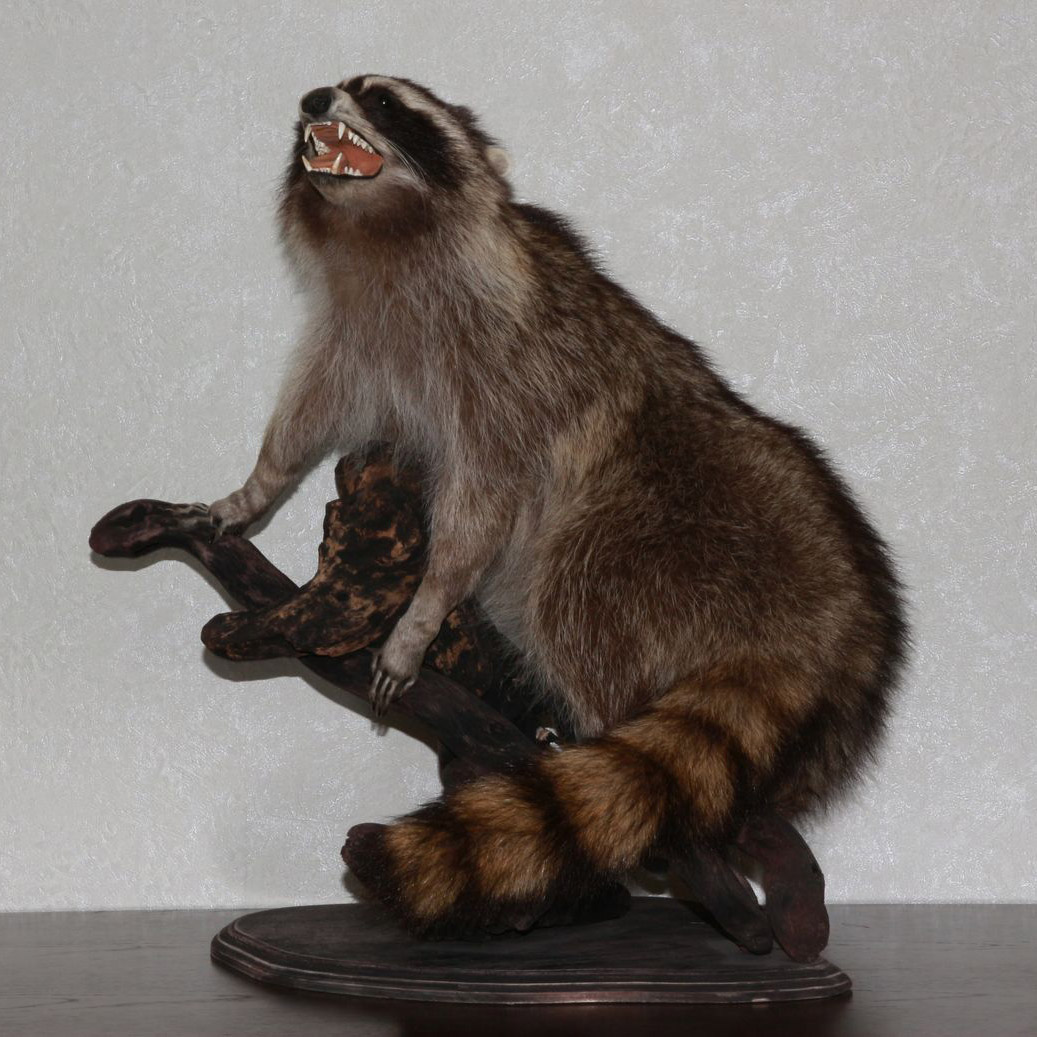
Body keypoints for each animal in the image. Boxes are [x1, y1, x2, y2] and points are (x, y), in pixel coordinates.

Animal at [209, 75, 907, 936]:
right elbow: (310, 415)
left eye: (383, 98)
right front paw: (259, 481)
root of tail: (819, 623)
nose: (314, 98)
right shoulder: (356, 338)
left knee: (577, 590)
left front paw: (424, 608)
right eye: (335, 86)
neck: (381, 234)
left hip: (669, 531)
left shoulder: (504, 370)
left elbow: (481, 502)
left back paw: (592, 717)